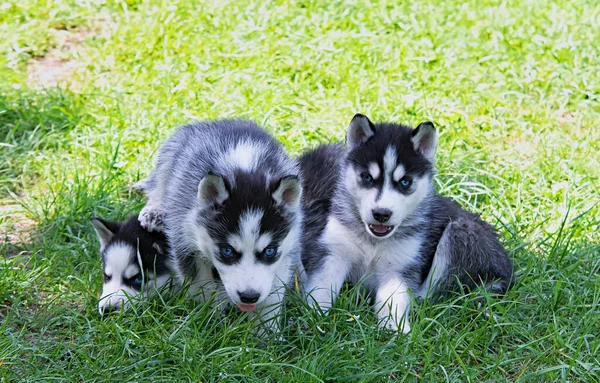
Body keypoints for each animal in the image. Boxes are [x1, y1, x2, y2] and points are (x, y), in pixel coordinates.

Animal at [138, 120, 302, 330]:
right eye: (227, 251)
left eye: (269, 251)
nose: (249, 297)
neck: (245, 165)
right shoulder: (184, 234)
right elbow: (200, 284)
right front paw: (208, 315)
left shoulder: (289, 245)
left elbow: (273, 293)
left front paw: (266, 330)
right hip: (172, 151)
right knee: (160, 179)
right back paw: (155, 211)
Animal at [302, 113, 512, 332]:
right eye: (367, 177)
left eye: (405, 182)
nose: (381, 214)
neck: (373, 241)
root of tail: (508, 273)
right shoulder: (333, 252)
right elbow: (321, 288)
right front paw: (313, 318)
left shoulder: (400, 267)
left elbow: (394, 300)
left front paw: (395, 329)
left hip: (461, 233)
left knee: (429, 295)